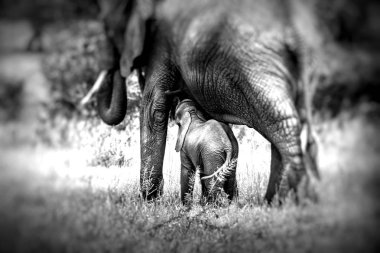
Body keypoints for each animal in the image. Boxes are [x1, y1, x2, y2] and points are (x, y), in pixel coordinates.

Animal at [93, 0, 320, 203]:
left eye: (109, 30)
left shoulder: (162, 41)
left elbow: (153, 105)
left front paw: (149, 201)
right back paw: (271, 202)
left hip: (259, 64)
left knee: (282, 124)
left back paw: (285, 203)